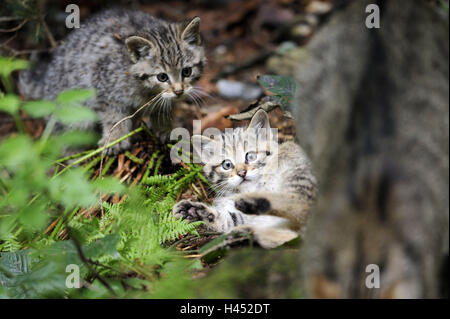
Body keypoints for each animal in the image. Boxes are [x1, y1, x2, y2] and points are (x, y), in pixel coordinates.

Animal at [18, 9, 206, 154]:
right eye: (162, 77)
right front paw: (116, 137)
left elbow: (163, 108)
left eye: (187, 71)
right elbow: (113, 114)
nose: (179, 91)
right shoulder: (103, 83)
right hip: (71, 110)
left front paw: (164, 127)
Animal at [172, 111, 316, 249]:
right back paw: (247, 235)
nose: (242, 173)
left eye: (251, 156)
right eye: (227, 165)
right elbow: (226, 219)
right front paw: (192, 211)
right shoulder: (243, 216)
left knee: (302, 204)